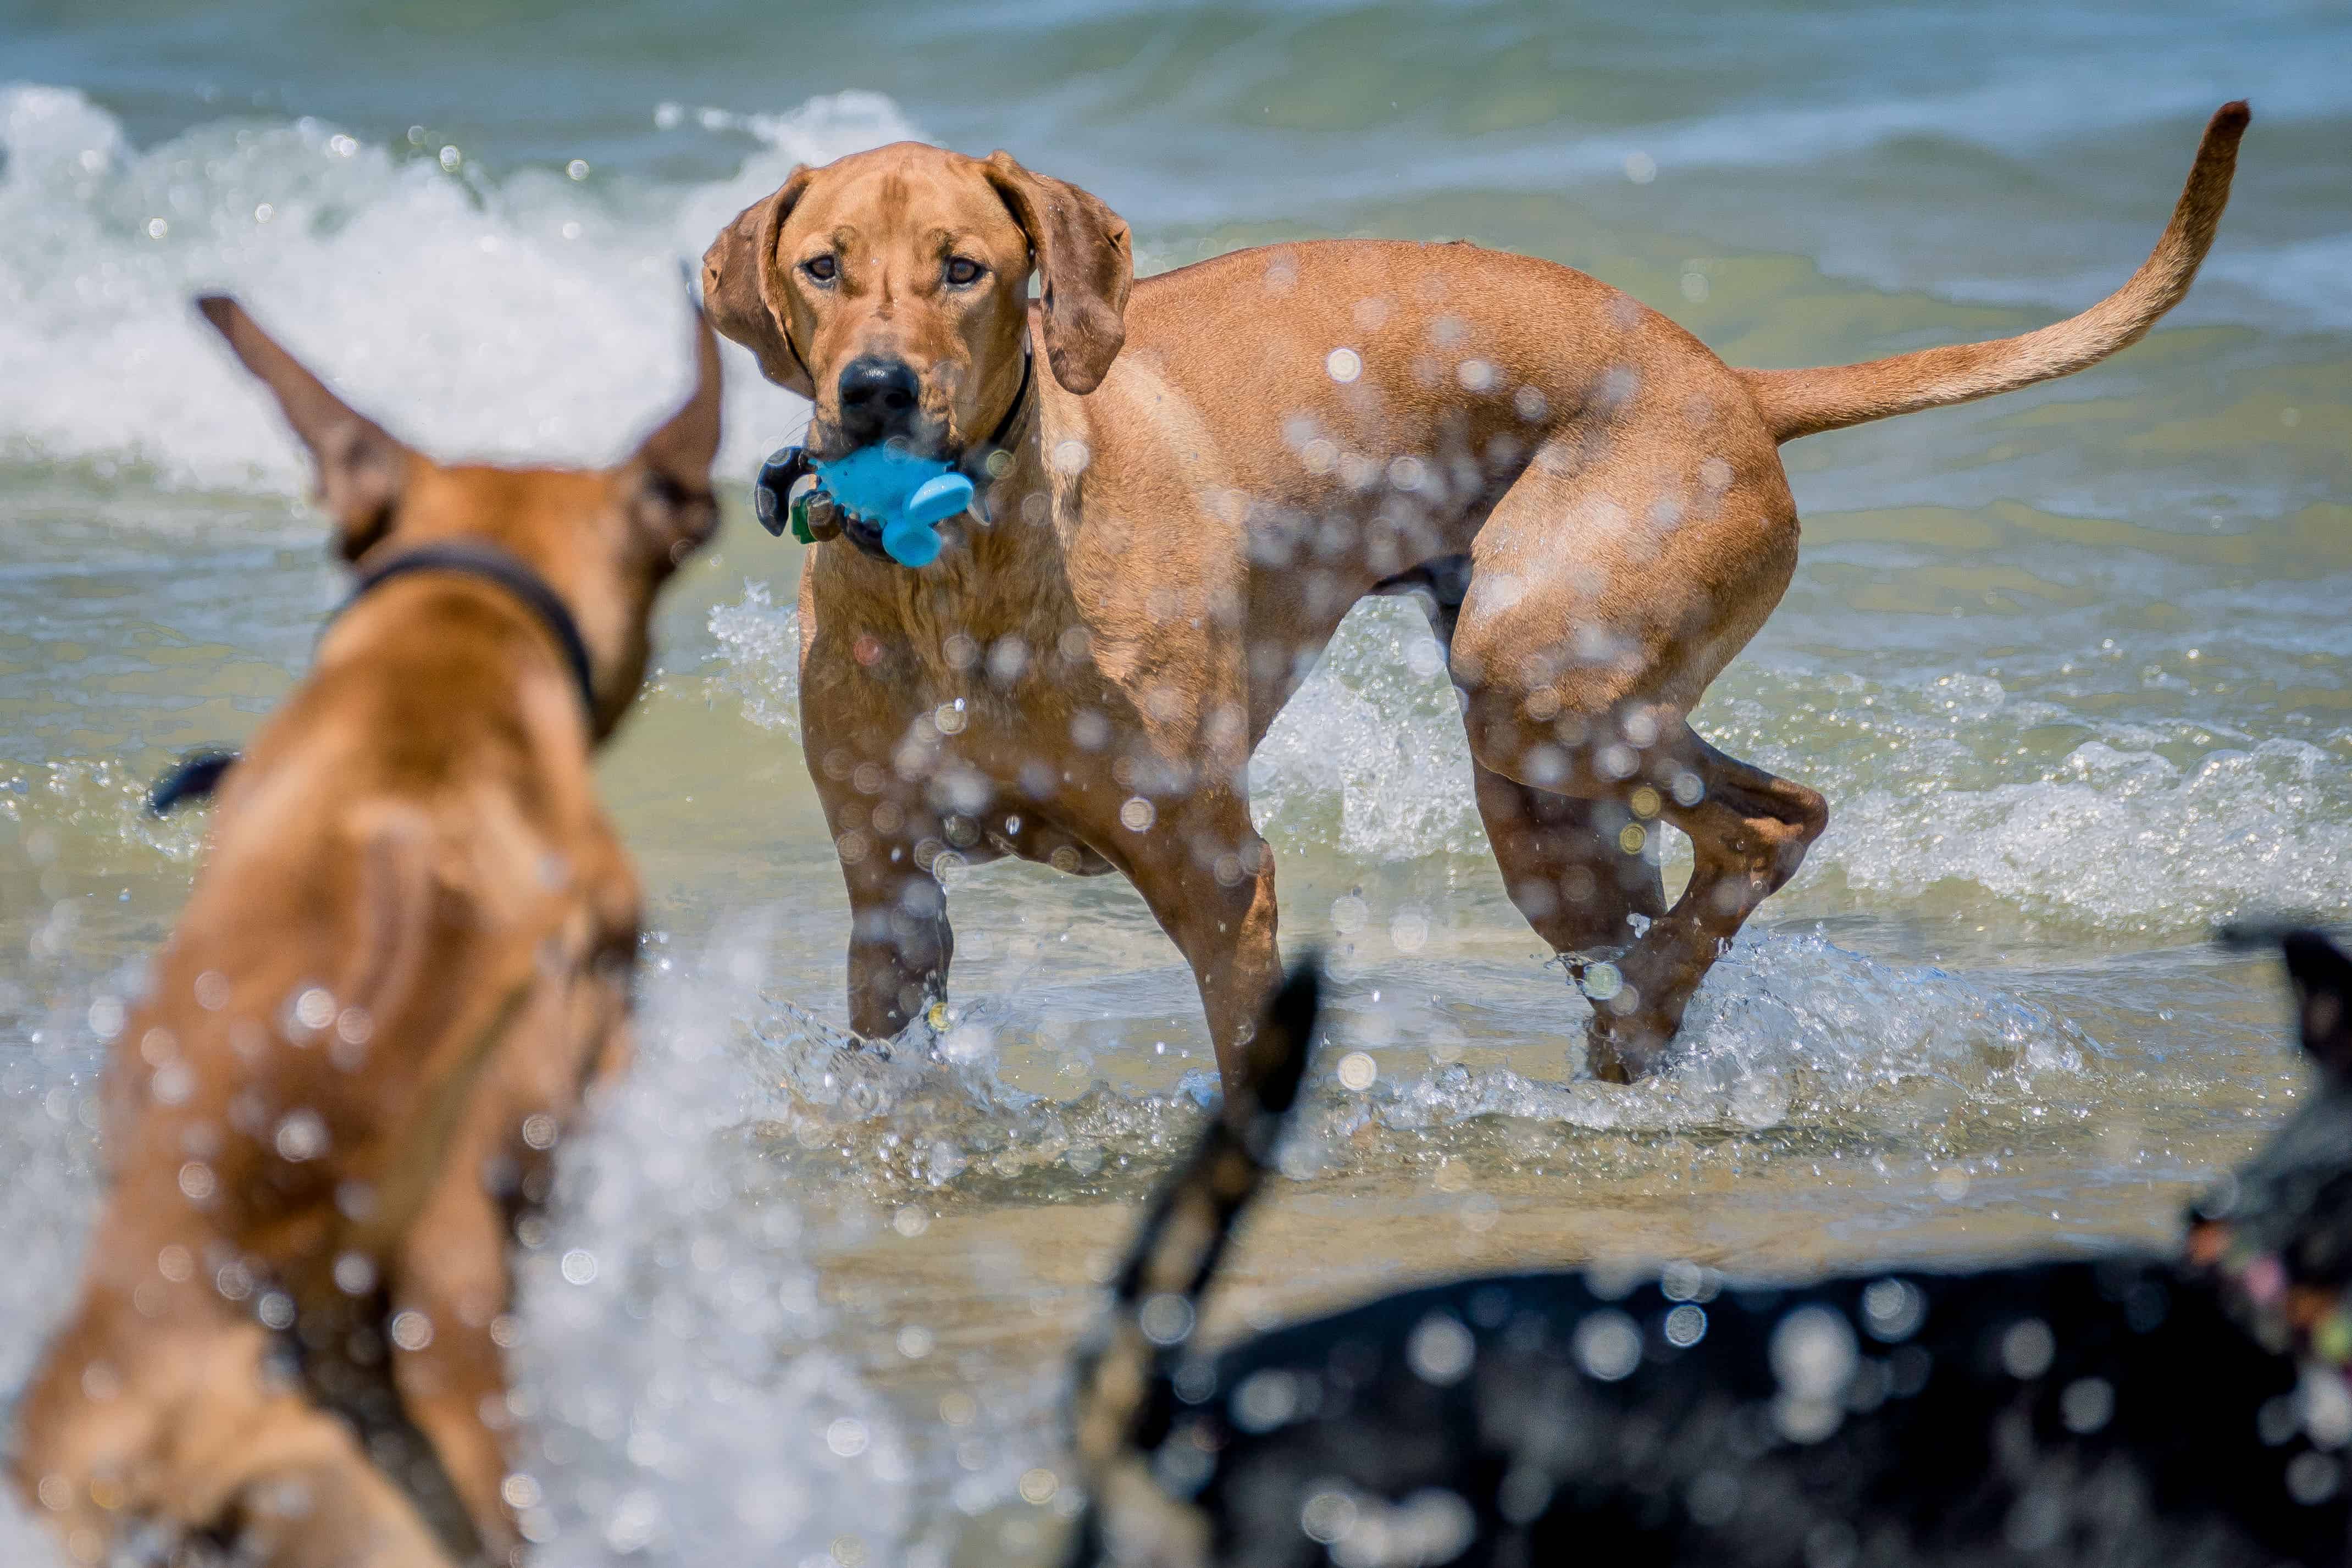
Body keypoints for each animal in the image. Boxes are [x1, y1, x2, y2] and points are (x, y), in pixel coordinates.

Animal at [691, 104, 2239, 1086]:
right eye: (822, 266)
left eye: (966, 269)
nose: (873, 388)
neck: (957, 577)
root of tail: (1733, 382)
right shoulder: (887, 884)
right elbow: (889, 1043)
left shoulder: (1213, 868)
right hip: (1551, 795)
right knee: (1665, 882)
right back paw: (1641, 1029)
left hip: (1535, 674)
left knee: (1776, 819)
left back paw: (1646, 1010)